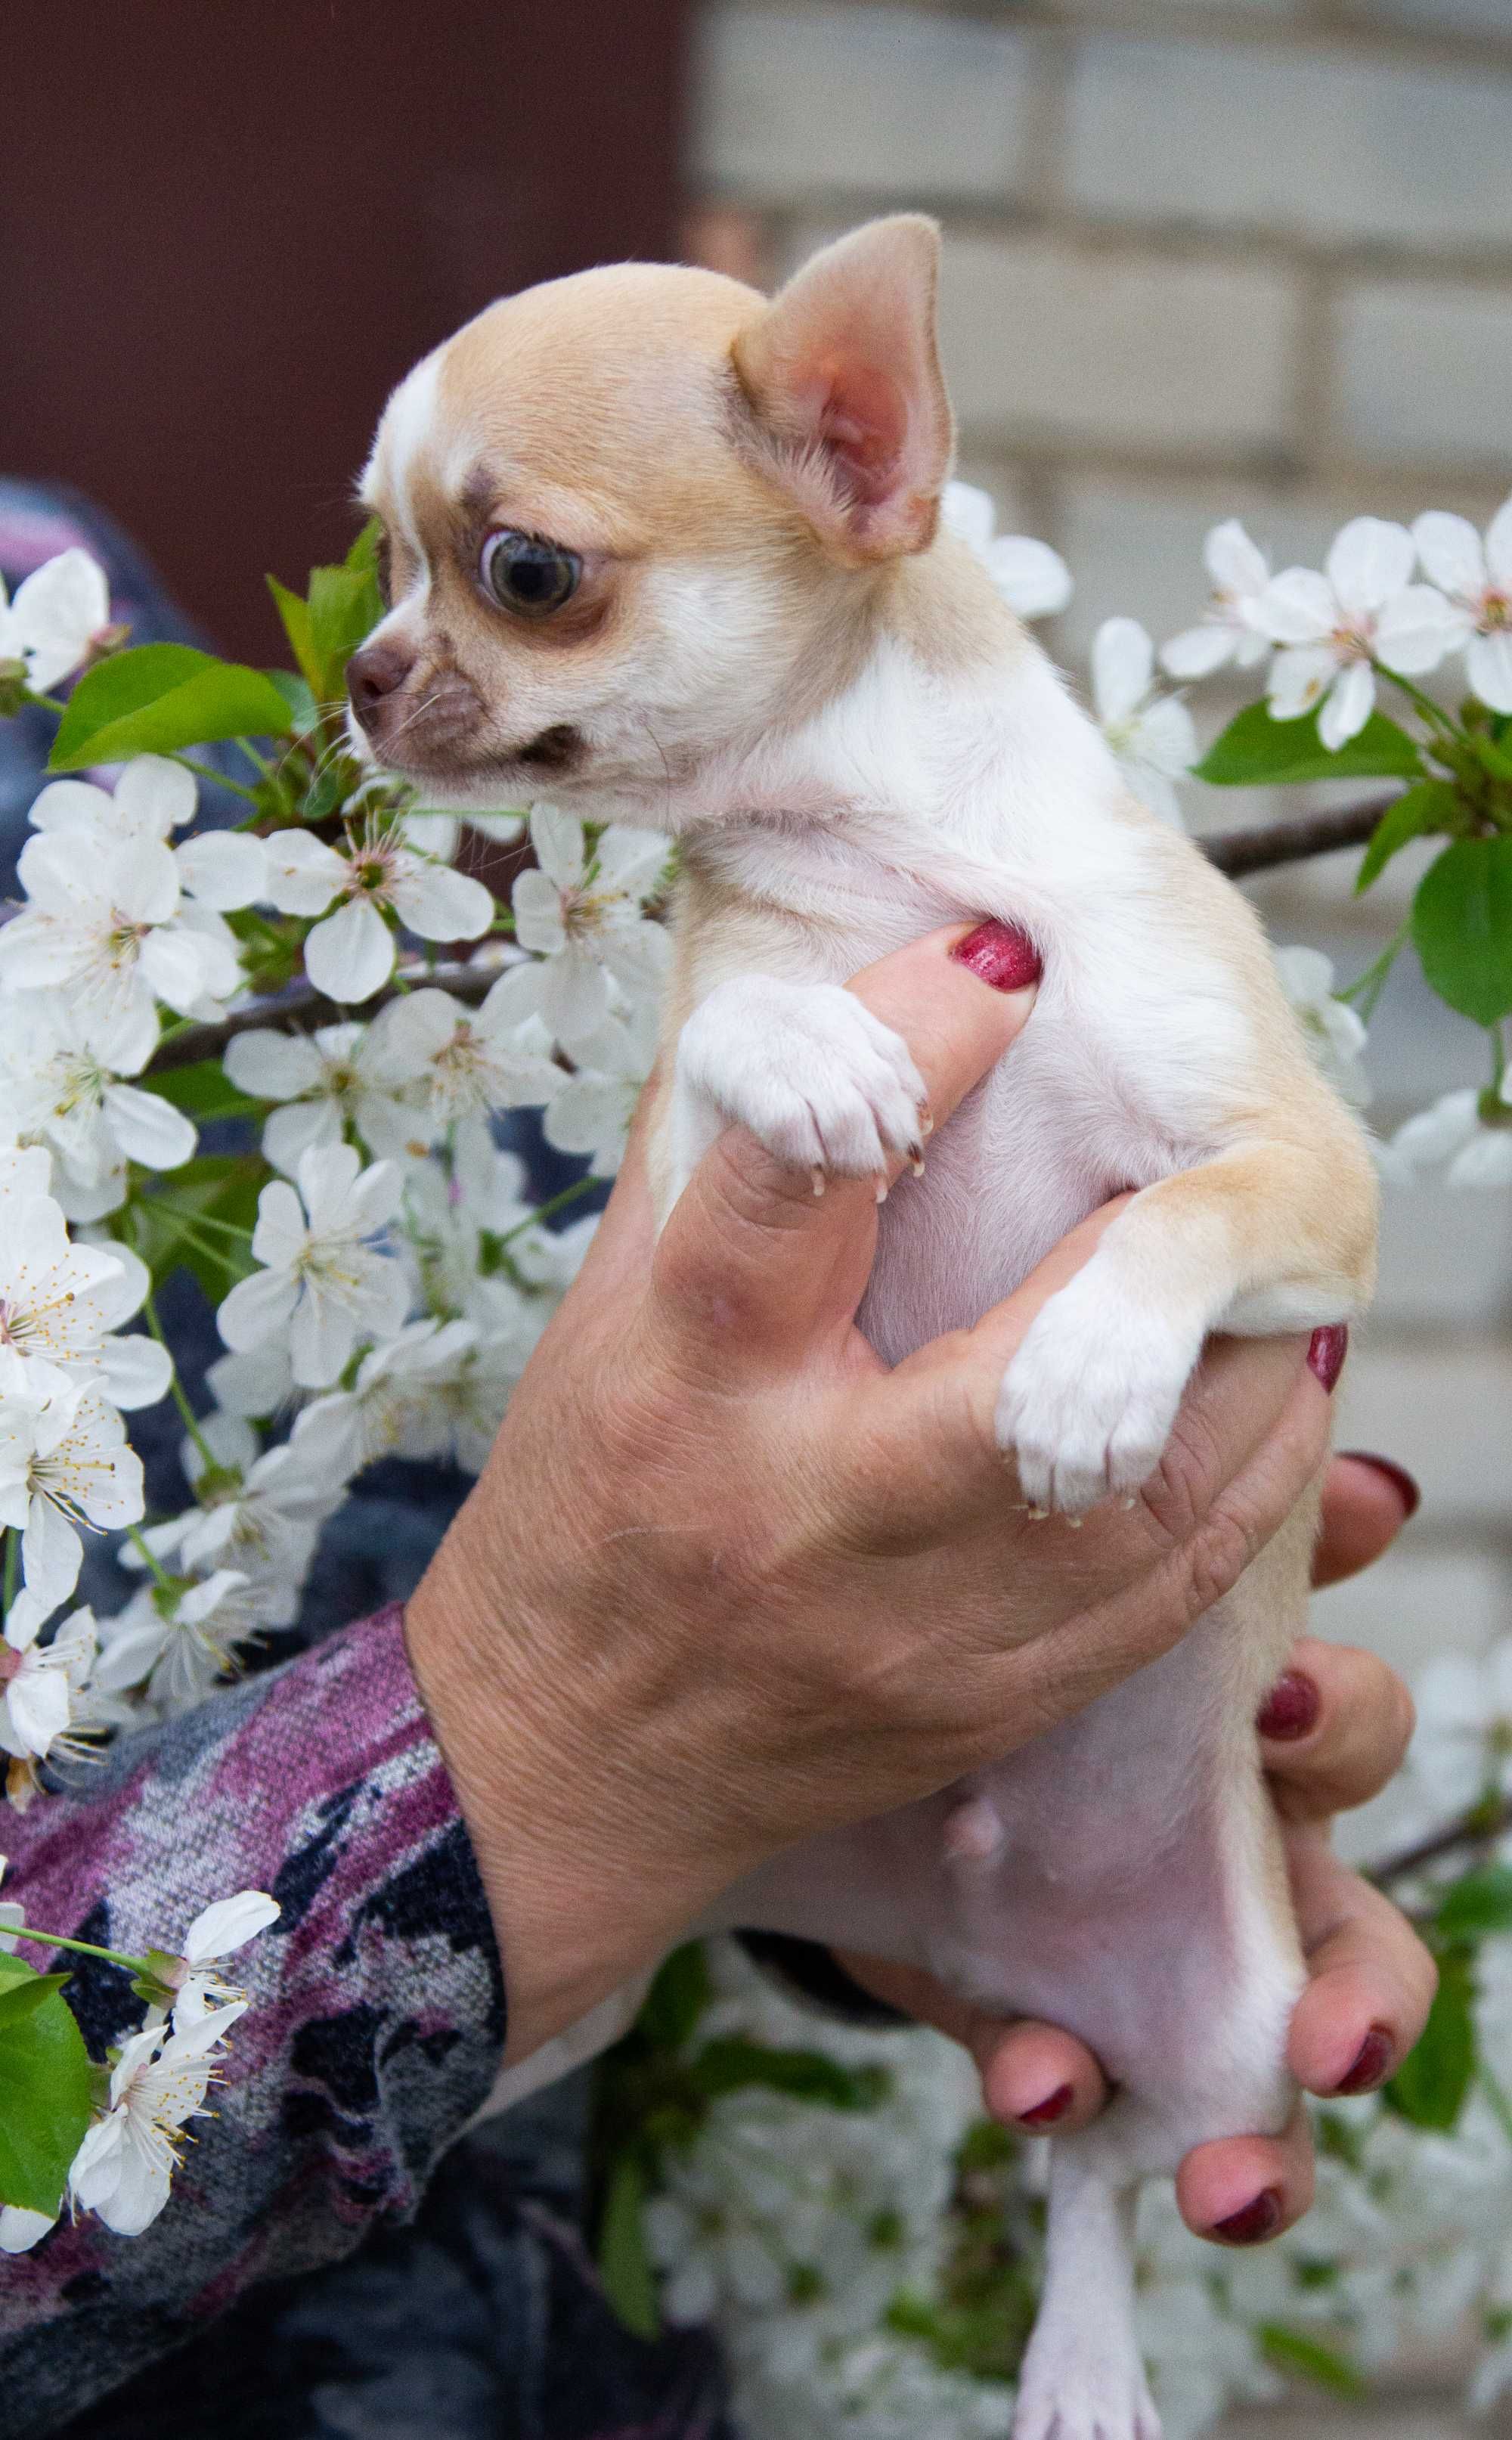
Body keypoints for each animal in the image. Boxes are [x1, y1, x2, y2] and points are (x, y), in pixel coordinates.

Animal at [349, 219, 1375, 2430]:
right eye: (378, 556)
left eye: (520, 570)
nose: (364, 677)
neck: (902, 851)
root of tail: (947, 1922)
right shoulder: (679, 1147)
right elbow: (737, 1019)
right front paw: (816, 1054)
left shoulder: (1297, 1165)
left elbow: (1182, 1207)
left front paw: (1085, 1369)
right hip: (569, 1977)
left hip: (1238, 2026)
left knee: (1094, 2166)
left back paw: (1082, 2354)